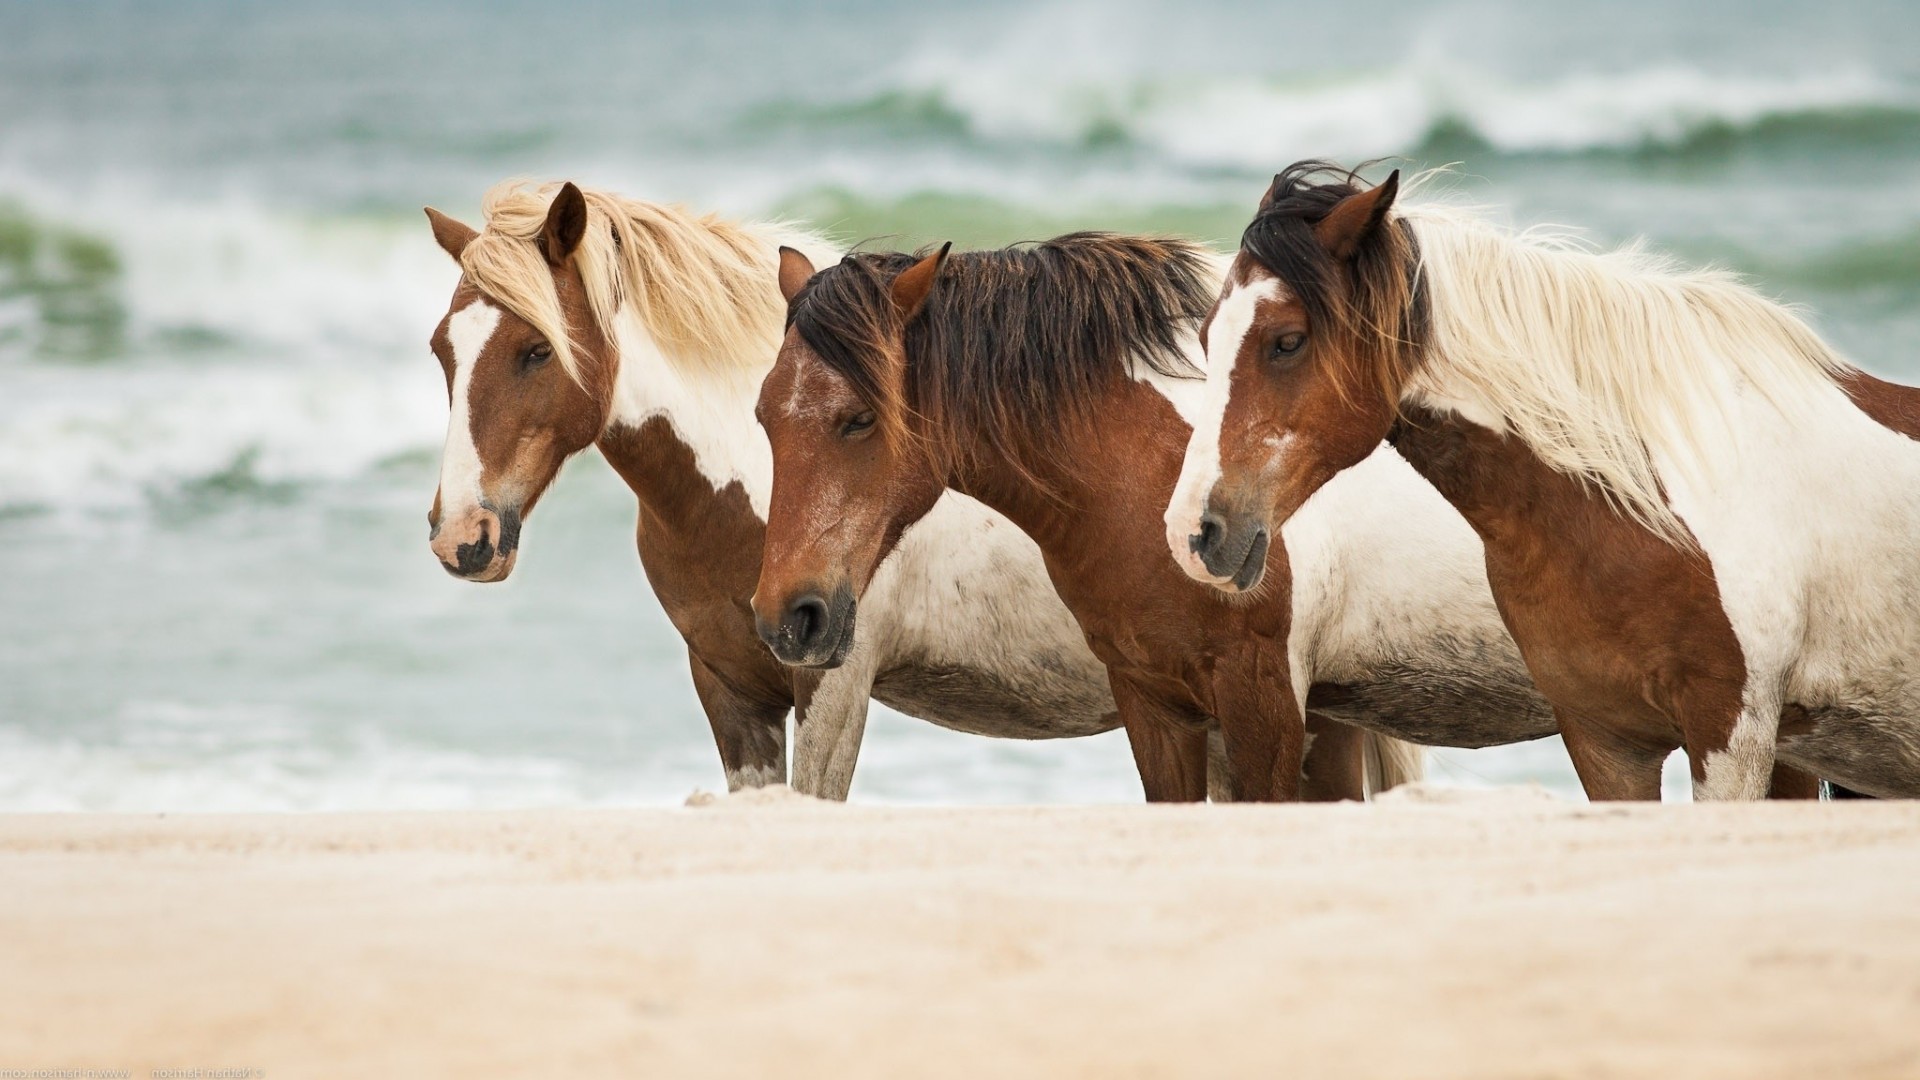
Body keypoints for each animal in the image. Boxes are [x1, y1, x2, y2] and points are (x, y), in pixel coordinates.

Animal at [753, 234, 1552, 802]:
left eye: (859, 419)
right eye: (764, 414)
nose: (788, 617)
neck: (1154, 469)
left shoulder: (1265, 705)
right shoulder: (1156, 702)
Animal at [1167, 160, 1920, 800]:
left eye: (1286, 341)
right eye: (1205, 337)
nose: (1193, 532)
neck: (1652, 504)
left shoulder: (1734, 739)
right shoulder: (1607, 742)